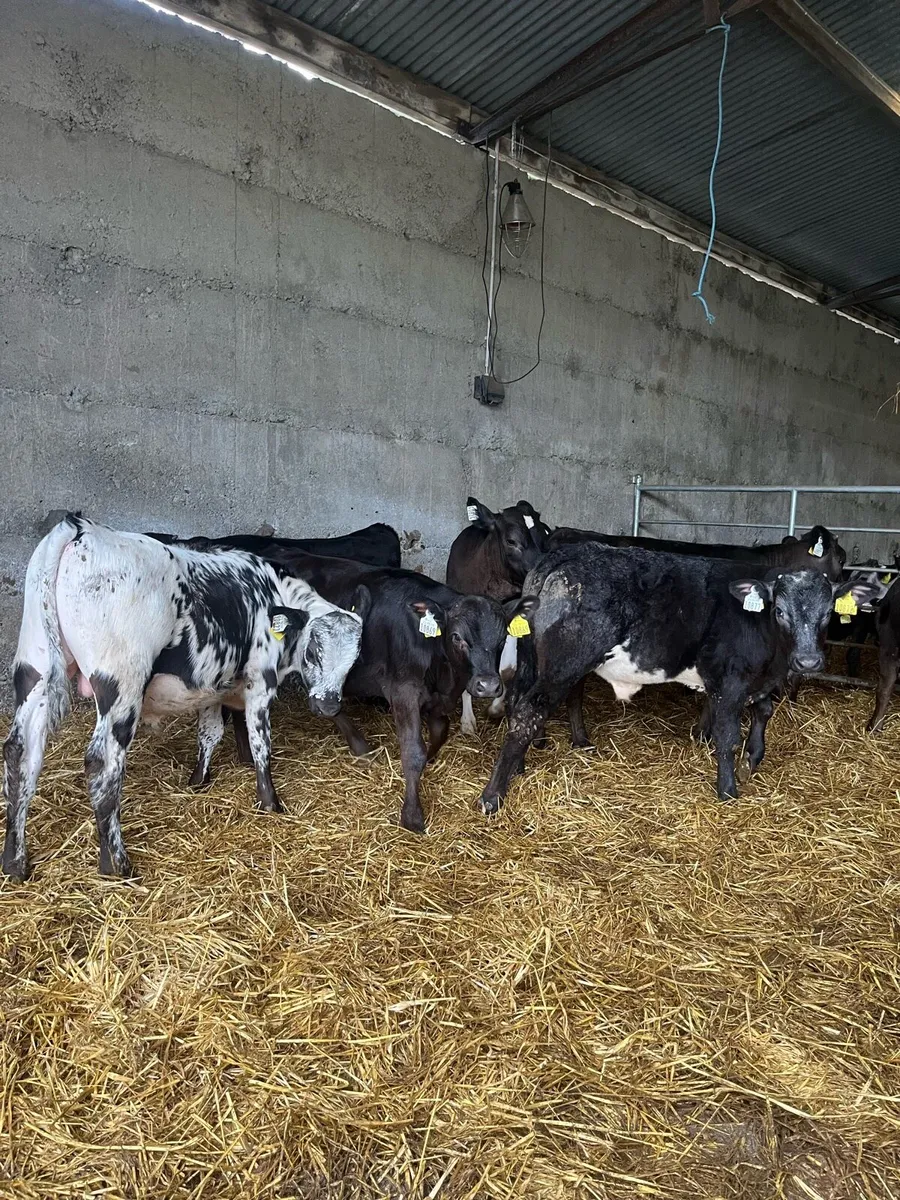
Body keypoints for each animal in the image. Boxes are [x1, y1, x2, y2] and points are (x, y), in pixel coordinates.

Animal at [2, 516, 366, 880]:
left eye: (354, 659)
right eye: (313, 650)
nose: (329, 704)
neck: (272, 593)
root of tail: (81, 527)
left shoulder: (212, 686)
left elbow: (210, 733)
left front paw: (198, 781)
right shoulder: (261, 681)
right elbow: (261, 742)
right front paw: (270, 802)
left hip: (35, 670)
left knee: (19, 753)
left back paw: (14, 862)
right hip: (121, 686)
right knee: (102, 763)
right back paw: (116, 863)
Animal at [234, 549, 536, 833]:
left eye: (503, 638)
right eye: (457, 637)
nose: (488, 685)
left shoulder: (439, 699)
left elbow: (440, 733)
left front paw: (430, 759)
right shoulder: (404, 692)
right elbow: (412, 752)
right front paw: (412, 816)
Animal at [446, 498, 550, 735]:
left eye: (546, 537)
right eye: (512, 541)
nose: (541, 571)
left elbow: (508, 669)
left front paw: (496, 707)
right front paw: (467, 722)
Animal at [477, 542, 884, 817]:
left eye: (828, 613)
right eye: (780, 610)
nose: (809, 660)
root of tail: (563, 555)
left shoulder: (757, 680)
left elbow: (764, 711)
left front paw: (754, 756)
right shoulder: (728, 681)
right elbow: (726, 735)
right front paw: (728, 789)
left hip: (537, 662)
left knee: (520, 703)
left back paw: (522, 766)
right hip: (564, 663)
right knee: (527, 713)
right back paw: (492, 796)